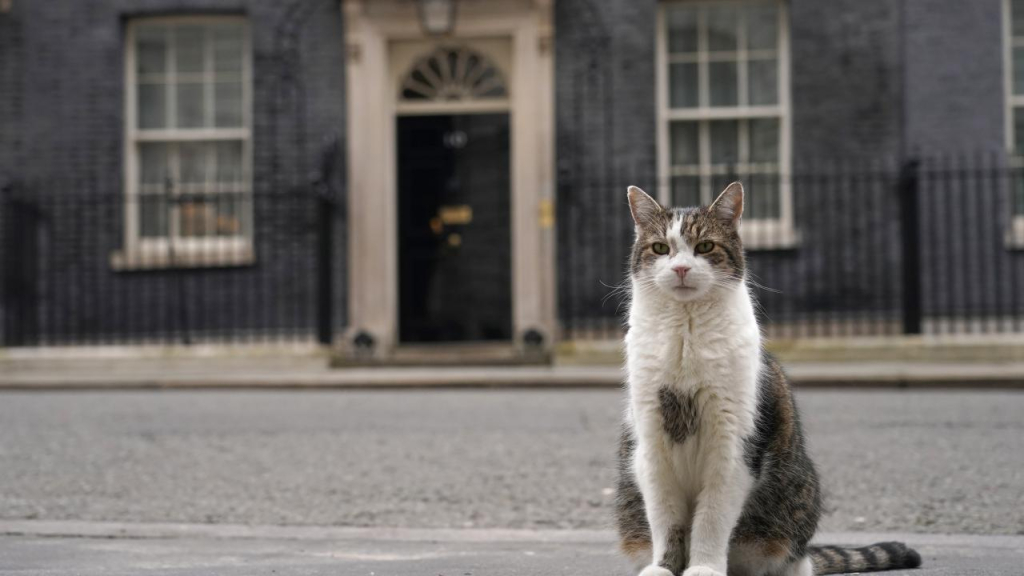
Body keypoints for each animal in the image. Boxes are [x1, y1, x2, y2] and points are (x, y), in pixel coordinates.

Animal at [610, 182, 925, 573]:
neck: (686, 335)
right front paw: (665, 567)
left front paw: (703, 568)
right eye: (660, 248)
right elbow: (665, 519)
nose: (681, 268)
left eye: (705, 247)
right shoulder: (652, 445)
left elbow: (711, 518)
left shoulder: (733, 446)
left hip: (790, 516)